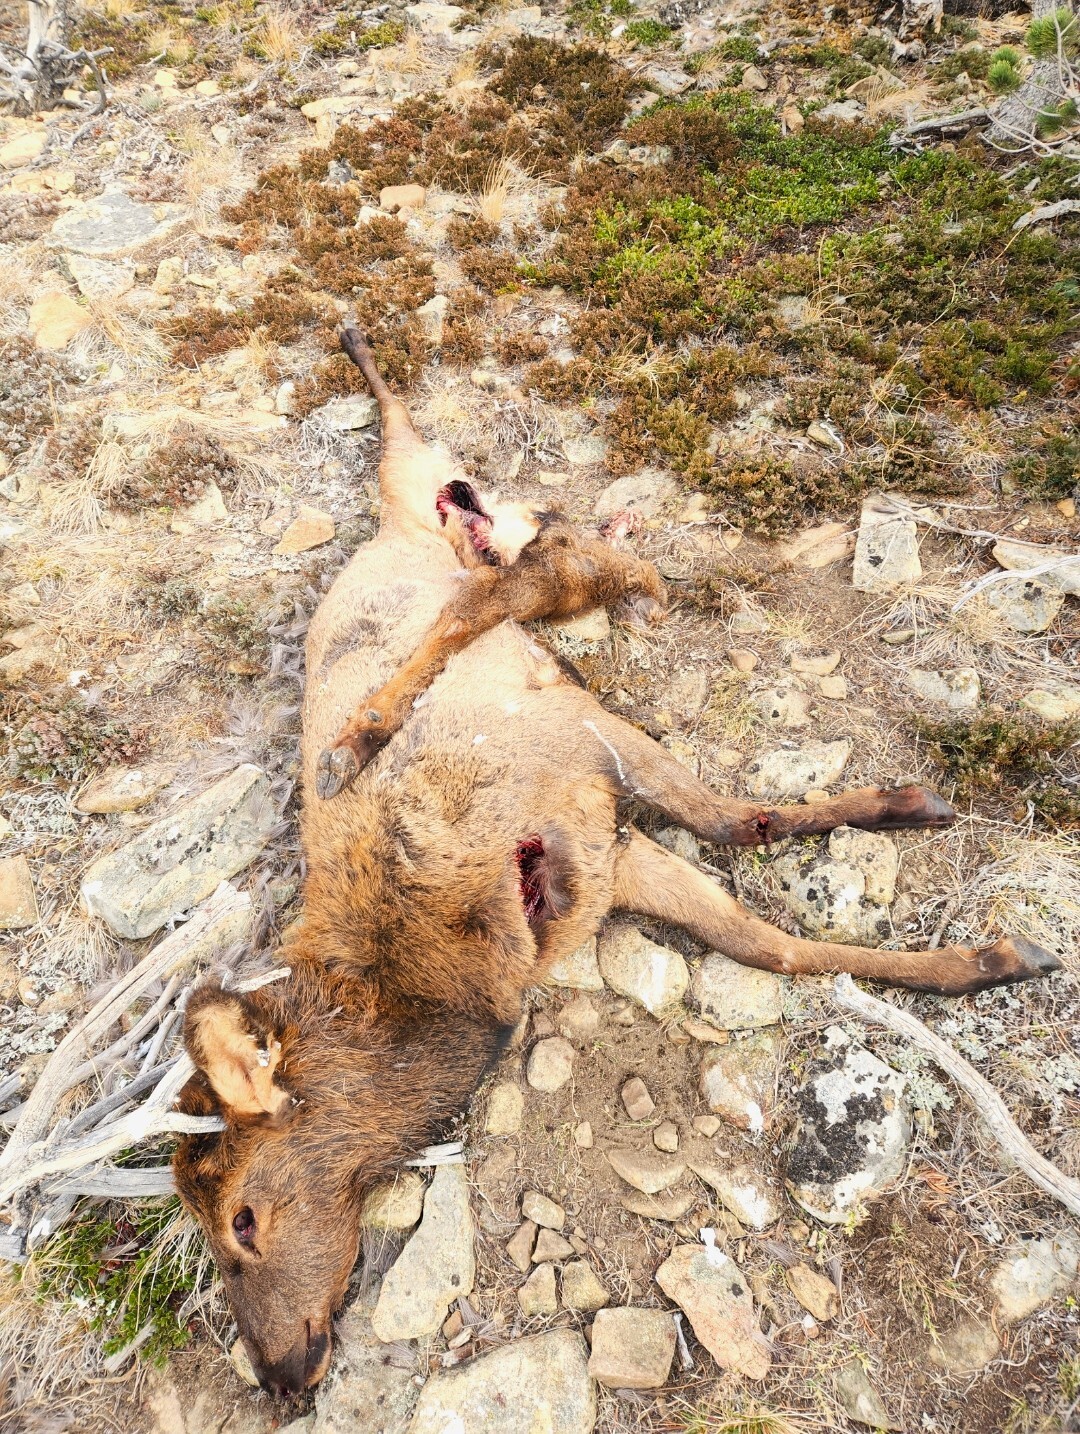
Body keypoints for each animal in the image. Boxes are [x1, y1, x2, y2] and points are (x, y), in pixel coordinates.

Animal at [173, 330, 1059, 1400]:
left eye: (243, 1218)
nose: (276, 1374)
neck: (446, 969)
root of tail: (396, 530)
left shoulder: (589, 764)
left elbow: (739, 836)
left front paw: (953, 902)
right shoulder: (611, 859)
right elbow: (770, 930)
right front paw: (974, 945)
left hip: (489, 537)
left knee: (473, 534)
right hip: (478, 529)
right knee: (475, 522)